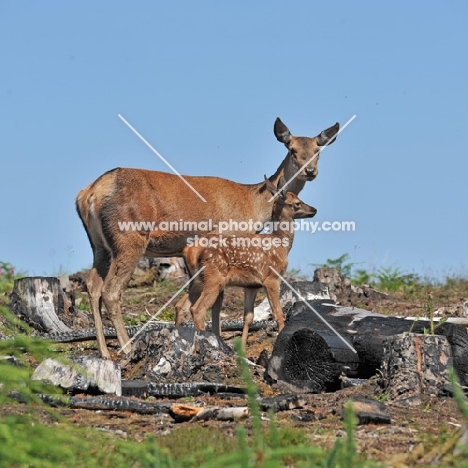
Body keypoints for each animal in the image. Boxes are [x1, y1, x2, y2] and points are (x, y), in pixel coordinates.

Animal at [183, 177, 318, 350]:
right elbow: (278, 313)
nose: (314, 209)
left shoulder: (251, 286)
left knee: (182, 307)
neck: (281, 243)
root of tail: (190, 250)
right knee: (198, 309)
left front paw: (242, 347)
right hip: (214, 276)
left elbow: (248, 317)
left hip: (196, 280)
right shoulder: (272, 278)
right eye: (297, 203)